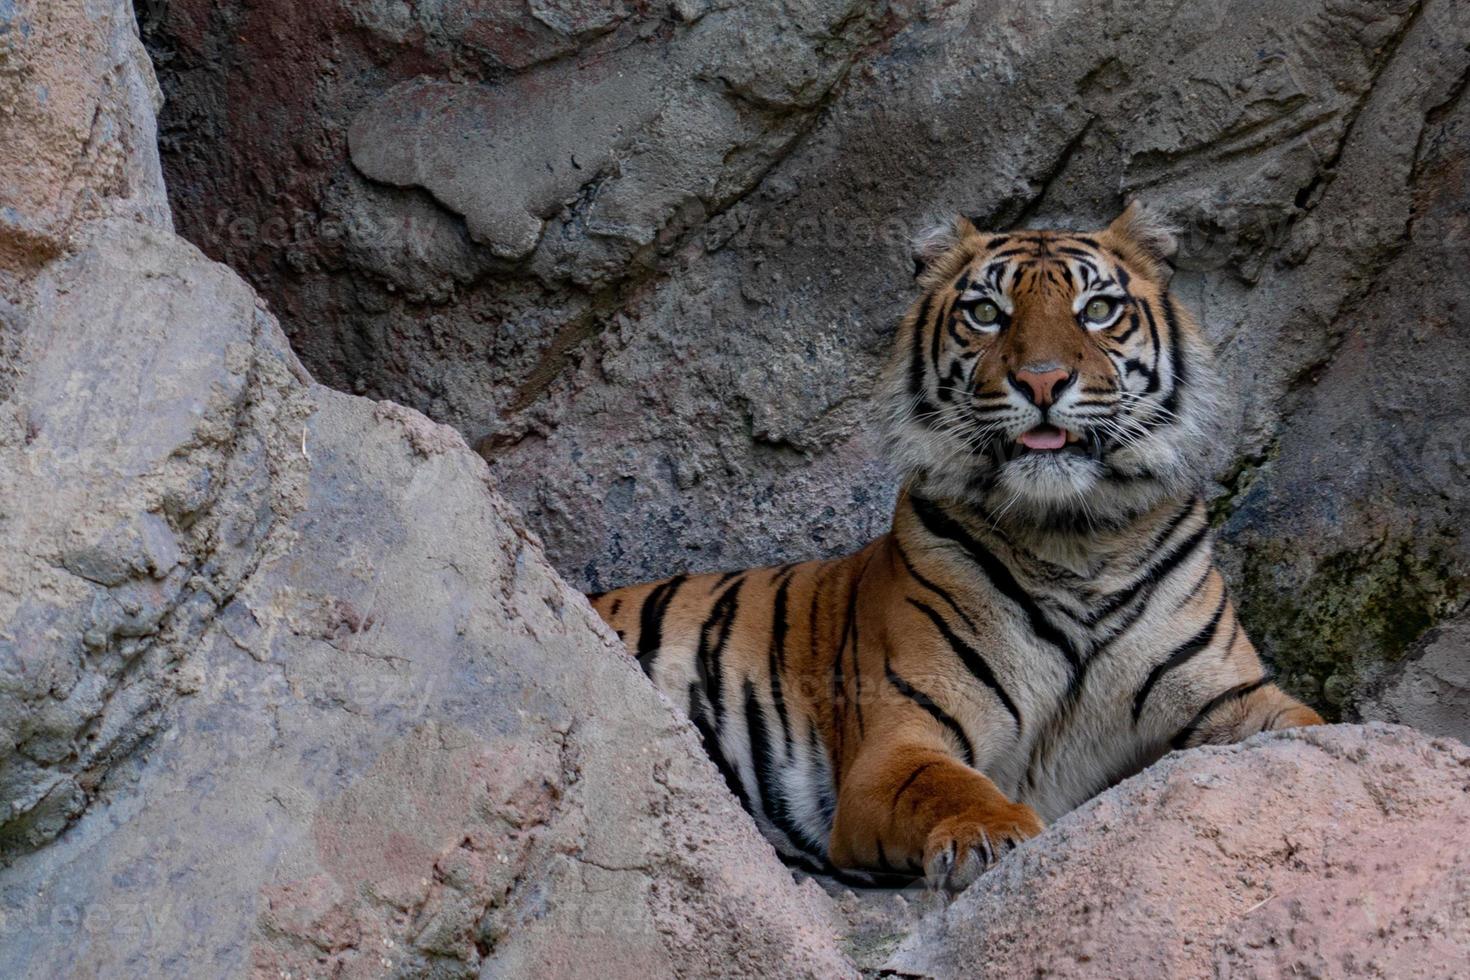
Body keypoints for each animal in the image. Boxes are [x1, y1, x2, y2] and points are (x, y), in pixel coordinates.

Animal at [582, 202, 1323, 893]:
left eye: (1099, 309)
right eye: (987, 313)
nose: (1043, 380)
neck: (1076, 537)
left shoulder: (1230, 695)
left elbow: (1306, 726)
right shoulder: (902, 735)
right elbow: (948, 784)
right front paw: (989, 834)